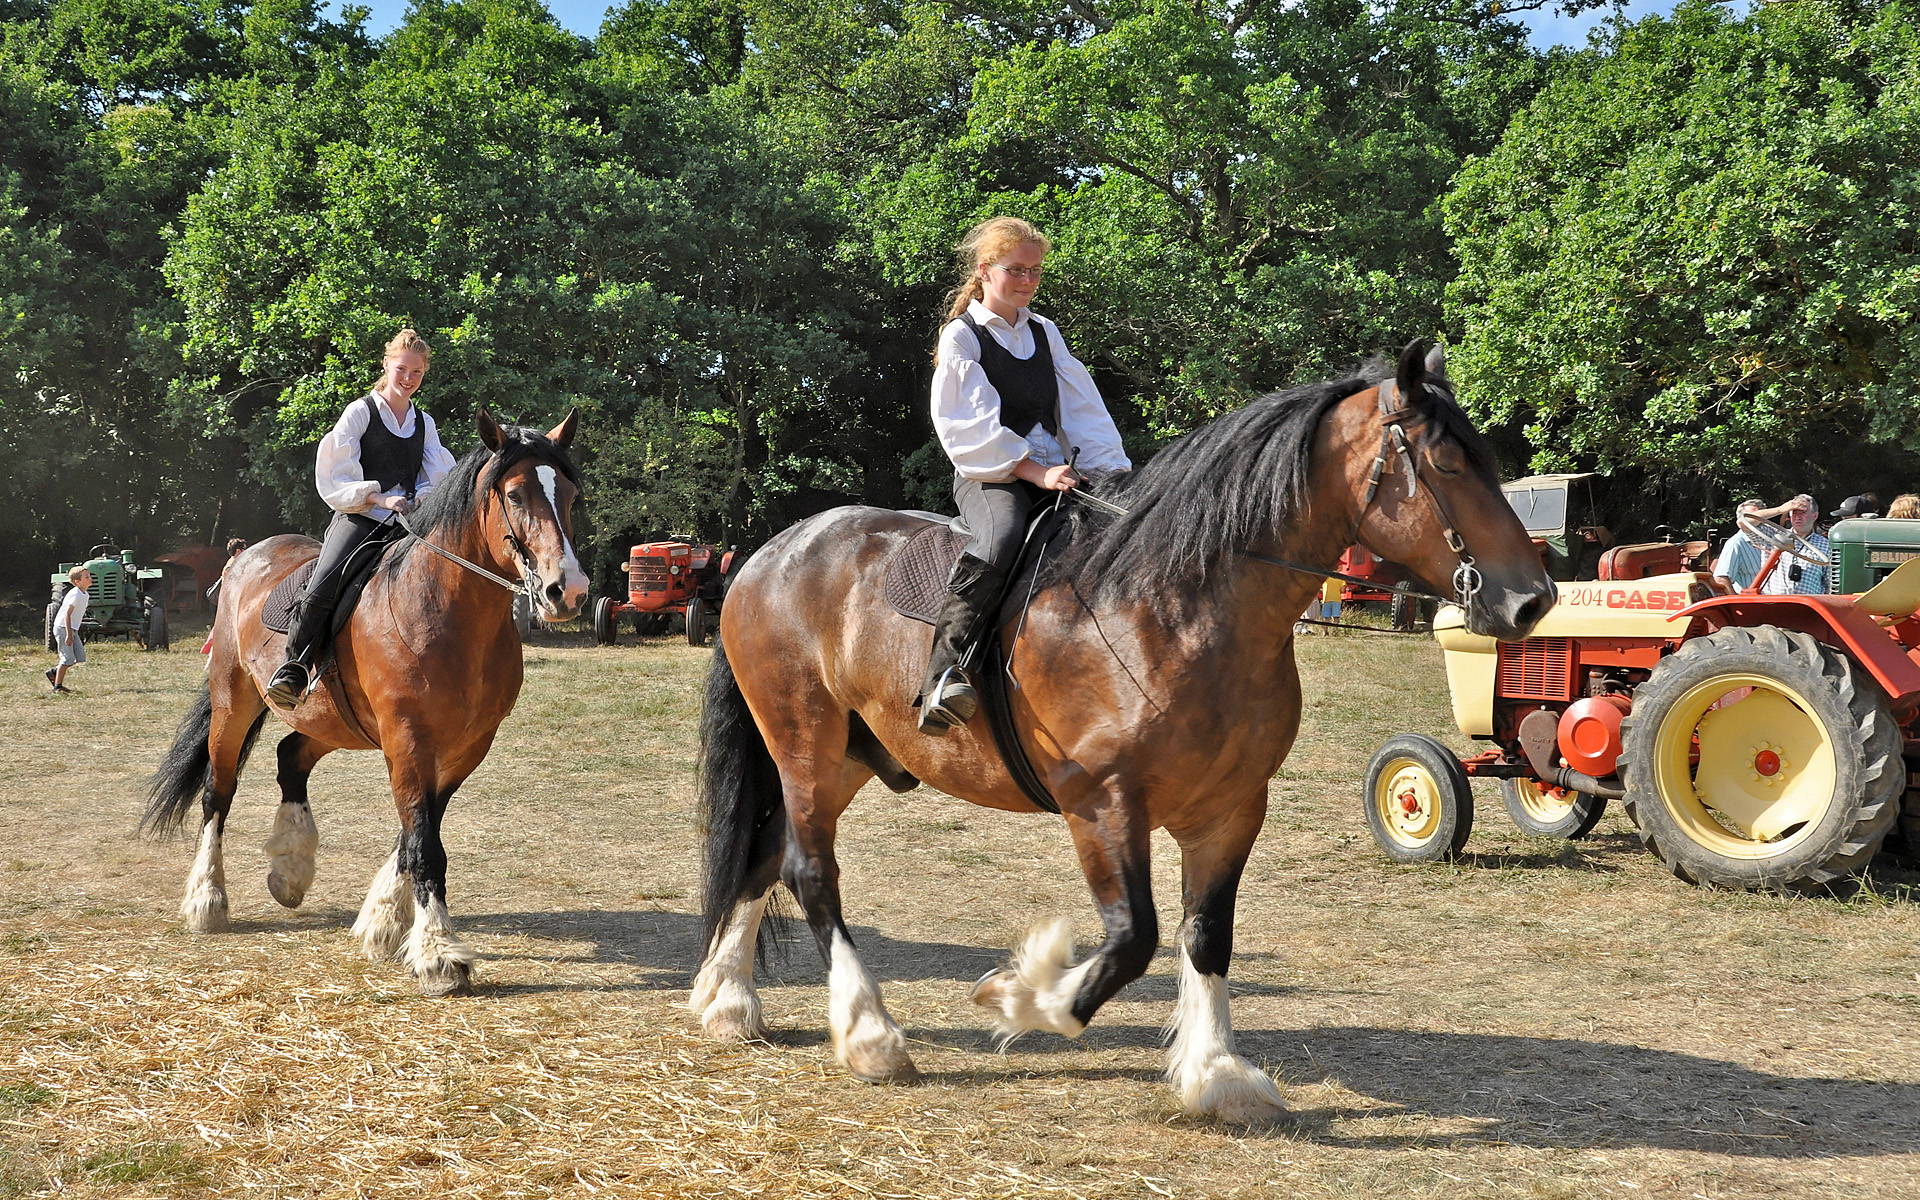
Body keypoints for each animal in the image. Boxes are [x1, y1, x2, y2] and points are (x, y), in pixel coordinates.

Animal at [140, 410, 588, 996]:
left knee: (291, 756)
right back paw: (207, 899)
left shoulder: (464, 747)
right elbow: (423, 844)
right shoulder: (408, 739)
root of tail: (244, 555)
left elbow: (418, 832)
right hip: (232, 700)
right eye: (515, 494)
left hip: (331, 723)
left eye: (572, 495)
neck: (440, 608)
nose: (568, 591)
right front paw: (438, 953)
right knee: (220, 790)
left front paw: (383, 922)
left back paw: (289, 870)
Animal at [690, 341, 1555, 1124]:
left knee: (767, 853)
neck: (1172, 609)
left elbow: (1205, 935)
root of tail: (770, 553)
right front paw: (1020, 994)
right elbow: (1134, 937)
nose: (1533, 599)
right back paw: (869, 1034)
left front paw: (1217, 1075)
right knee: (810, 871)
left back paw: (729, 1001)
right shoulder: (1101, 804)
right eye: (1444, 464)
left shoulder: (1232, 810)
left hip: (846, 758)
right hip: (805, 744)